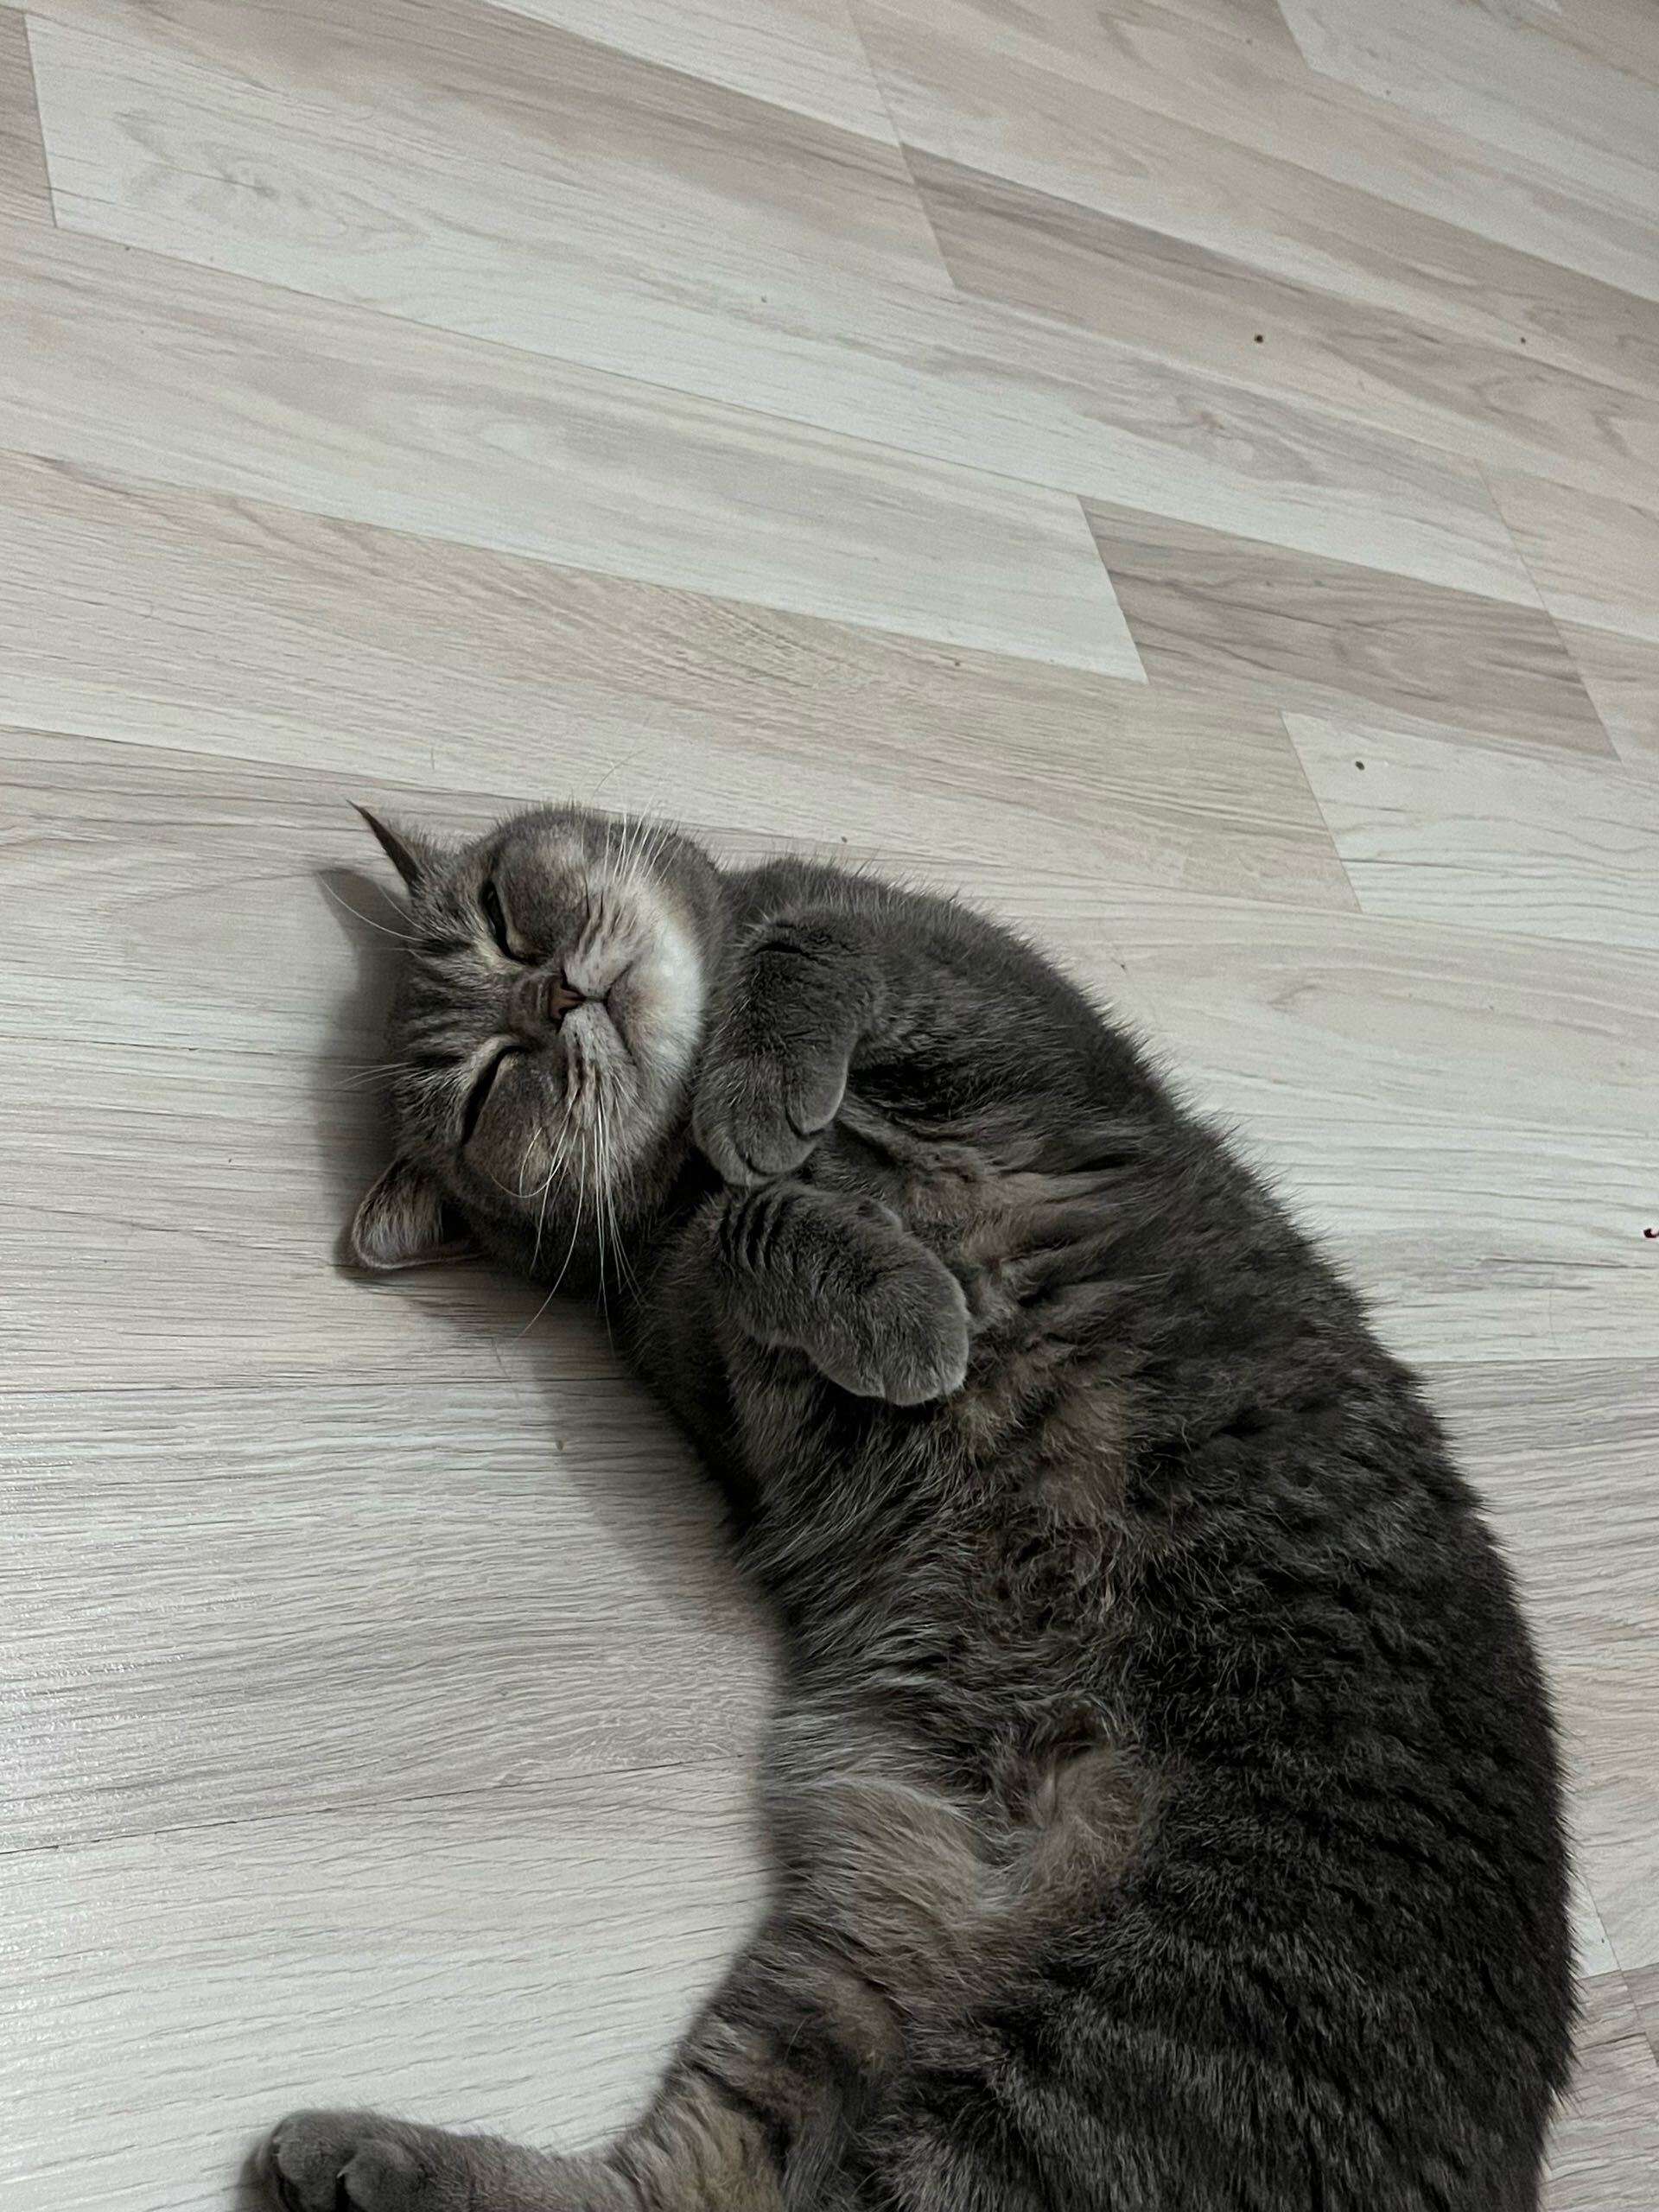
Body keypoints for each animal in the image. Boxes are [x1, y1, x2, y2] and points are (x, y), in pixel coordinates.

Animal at [260, 803, 1572, 2212]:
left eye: (506, 918)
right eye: (494, 1084)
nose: (556, 998)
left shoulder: (994, 997)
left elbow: (815, 954)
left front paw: (762, 1099)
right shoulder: (722, 1375)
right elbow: (755, 1230)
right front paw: (893, 1291)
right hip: (961, 2038)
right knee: (699, 2189)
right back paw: (358, 2163)